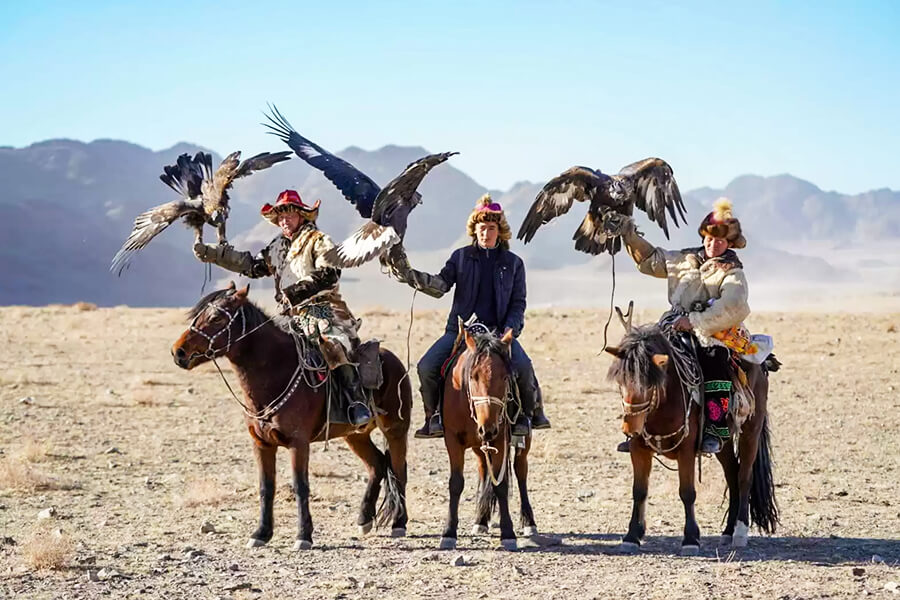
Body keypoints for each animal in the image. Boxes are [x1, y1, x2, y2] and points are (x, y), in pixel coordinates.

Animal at [171, 284, 414, 552]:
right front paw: (261, 533)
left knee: (398, 470)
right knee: (377, 465)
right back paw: (364, 519)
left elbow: (300, 486)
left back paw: (399, 523)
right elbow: (266, 487)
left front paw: (303, 536)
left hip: (395, 429)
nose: (178, 352)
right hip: (355, 435)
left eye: (216, 317)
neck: (276, 373)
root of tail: (393, 359)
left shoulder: (299, 443)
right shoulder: (262, 444)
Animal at [440, 326, 536, 552]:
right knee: (484, 468)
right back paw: (481, 521)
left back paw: (529, 523)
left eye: (505, 377)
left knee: (520, 471)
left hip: (522, 441)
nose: (488, 428)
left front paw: (508, 534)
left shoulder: (500, 438)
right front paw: (449, 533)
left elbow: (501, 486)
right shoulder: (452, 439)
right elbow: (456, 483)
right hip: (479, 445)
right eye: (473, 376)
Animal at [604, 324, 780, 552]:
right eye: (621, 381)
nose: (629, 427)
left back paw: (740, 532)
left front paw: (691, 539)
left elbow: (687, 492)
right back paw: (728, 531)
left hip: (751, 430)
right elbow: (639, 491)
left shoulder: (686, 450)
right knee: (732, 474)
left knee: (744, 477)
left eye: (649, 385)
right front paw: (632, 536)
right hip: (723, 442)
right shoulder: (638, 448)